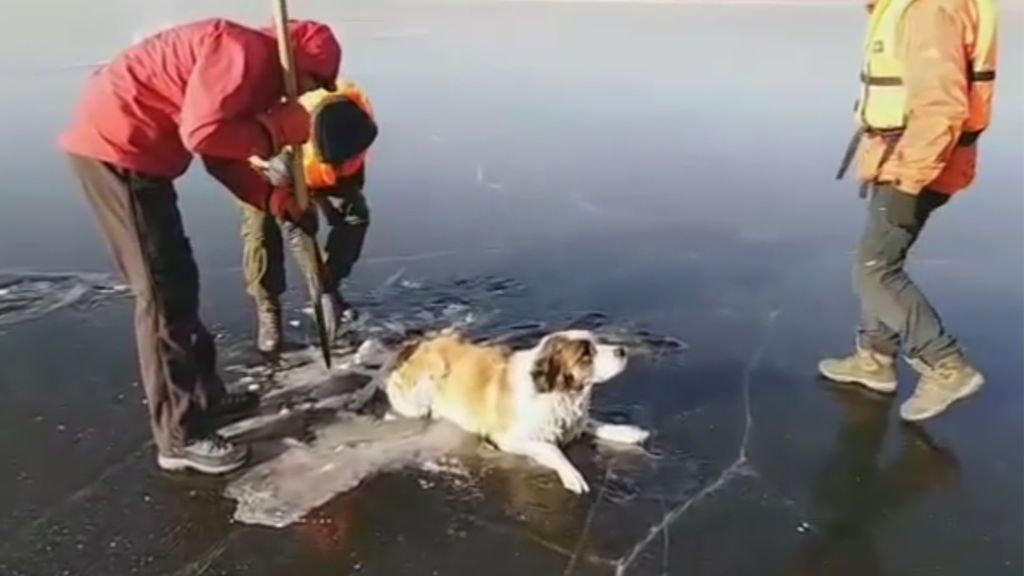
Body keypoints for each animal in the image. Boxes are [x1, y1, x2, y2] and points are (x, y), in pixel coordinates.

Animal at [385, 330, 647, 491]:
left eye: (597, 343)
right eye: (586, 355)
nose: (622, 350)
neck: (555, 391)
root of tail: (419, 345)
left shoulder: (572, 418)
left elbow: (592, 422)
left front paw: (627, 432)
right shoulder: (505, 437)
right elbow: (551, 448)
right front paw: (572, 474)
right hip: (421, 394)